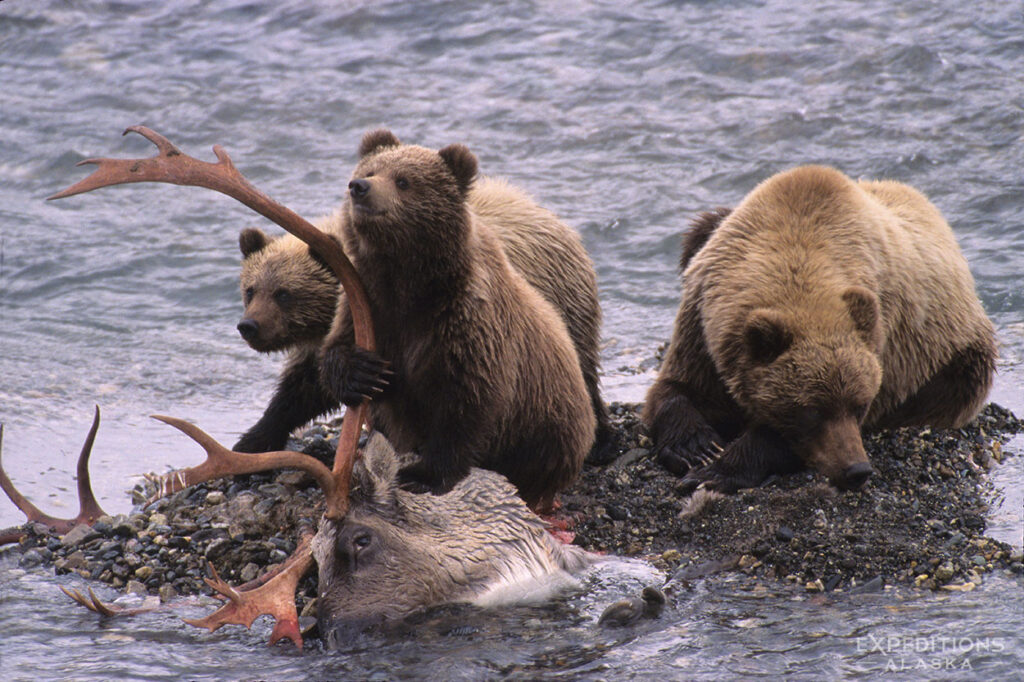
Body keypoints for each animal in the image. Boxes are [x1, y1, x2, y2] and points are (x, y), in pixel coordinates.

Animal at [233, 178, 610, 458]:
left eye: (284, 293)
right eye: (251, 289)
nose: (249, 326)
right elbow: (305, 386)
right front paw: (253, 438)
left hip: (559, 308)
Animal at [319, 129, 593, 509]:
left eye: (403, 180)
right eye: (371, 169)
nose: (359, 186)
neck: (411, 282)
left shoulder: (467, 322)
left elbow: (464, 400)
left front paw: (424, 473)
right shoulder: (370, 303)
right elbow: (340, 347)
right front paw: (363, 371)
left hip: (548, 421)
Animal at [643, 165, 995, 493]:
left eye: (859, 406)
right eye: (812, 411)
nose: (856, 470)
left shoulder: (884, 336)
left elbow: (780, 436)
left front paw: (715, 470)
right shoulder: (702, 319)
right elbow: (677, 386)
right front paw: (695, 447)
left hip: (956, 353)